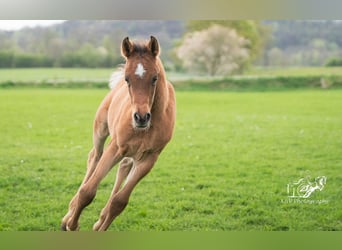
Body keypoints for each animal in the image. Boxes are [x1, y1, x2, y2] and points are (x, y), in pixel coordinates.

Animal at [60, 36, 176, 231]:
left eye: (155, 77)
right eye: (127, 79)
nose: (141, 117)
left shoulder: (149, 158)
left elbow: (119, 201)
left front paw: (100, 226)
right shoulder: (115, 147)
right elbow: (88, 191)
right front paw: (72, 225)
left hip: (133, 153)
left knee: (123, 166)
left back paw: (99, 219)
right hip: (101, 130)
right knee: (94, 156)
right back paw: (68, 215)